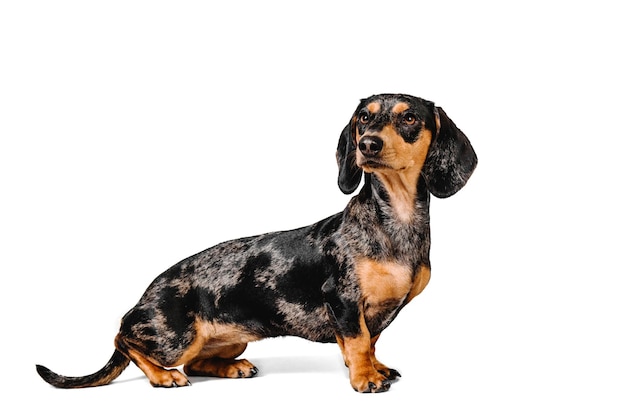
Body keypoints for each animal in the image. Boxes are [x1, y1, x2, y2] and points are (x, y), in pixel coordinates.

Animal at [36, 92, 476, 392]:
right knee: (124, 339)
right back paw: (163, 376)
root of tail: (145, 295)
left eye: (410, 118)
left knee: (195, 361)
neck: (394, 222)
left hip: (229, 341)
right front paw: (365, 377)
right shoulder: (344, 300)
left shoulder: (378, 311)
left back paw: (231, 369)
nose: (367, 143)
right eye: (363, 118)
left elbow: (371, 341)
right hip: (175, 337)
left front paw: (375, 367)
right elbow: (358, 342)